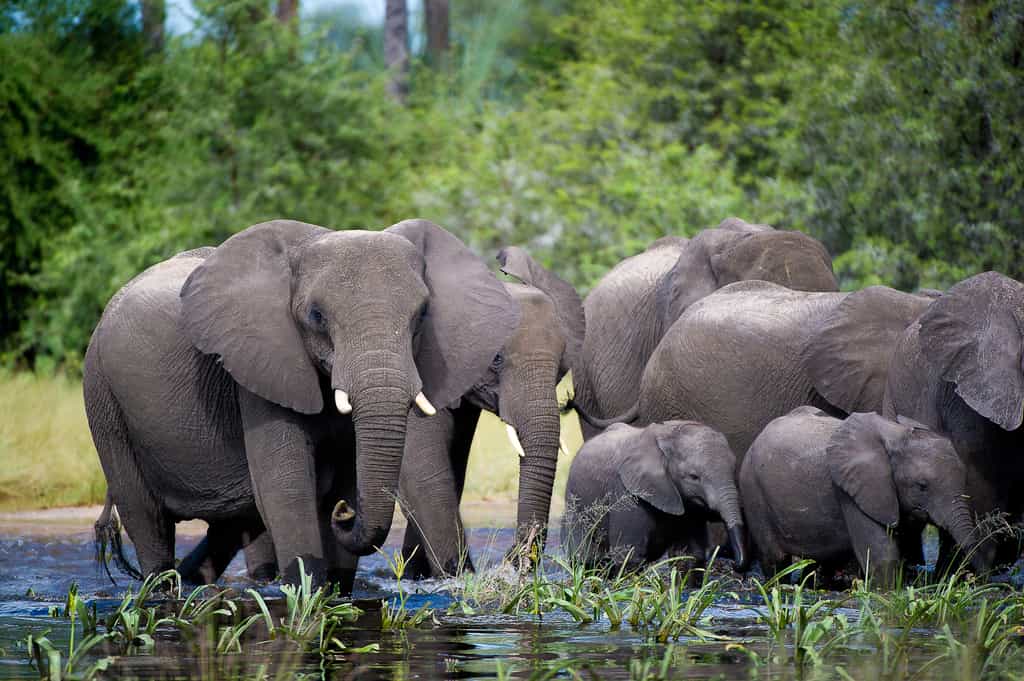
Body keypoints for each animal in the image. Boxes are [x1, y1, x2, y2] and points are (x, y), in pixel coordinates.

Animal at [84, 218, 519, 589]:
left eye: (423, 313)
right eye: (316, 315)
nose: (345, 513)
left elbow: (346, 476)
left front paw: (337, 590)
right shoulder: (260, 364)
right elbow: (286, 486)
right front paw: (304, 591)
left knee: (232, 524)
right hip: (102, 395)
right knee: (146, 517)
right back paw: (161, 587)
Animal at [396, 246, 585, 578]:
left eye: (562, 363)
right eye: (495, 358)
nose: (513, 557)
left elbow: (452, 468)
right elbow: (423, 470)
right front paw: (458, 580)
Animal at [561, 421, 748, 572]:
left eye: (734, 470)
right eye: (693, 477)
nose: (735, 564)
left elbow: (690, 555)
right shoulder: (627, 492)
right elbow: (629, 556)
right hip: (575, 504)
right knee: (586, 559)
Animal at [740, 407, 984, 586]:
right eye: (922, 486)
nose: (979, 580)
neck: (896, 435)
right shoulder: (851, 492)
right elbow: (882, 556)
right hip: (753, 491)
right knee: (775, 560)